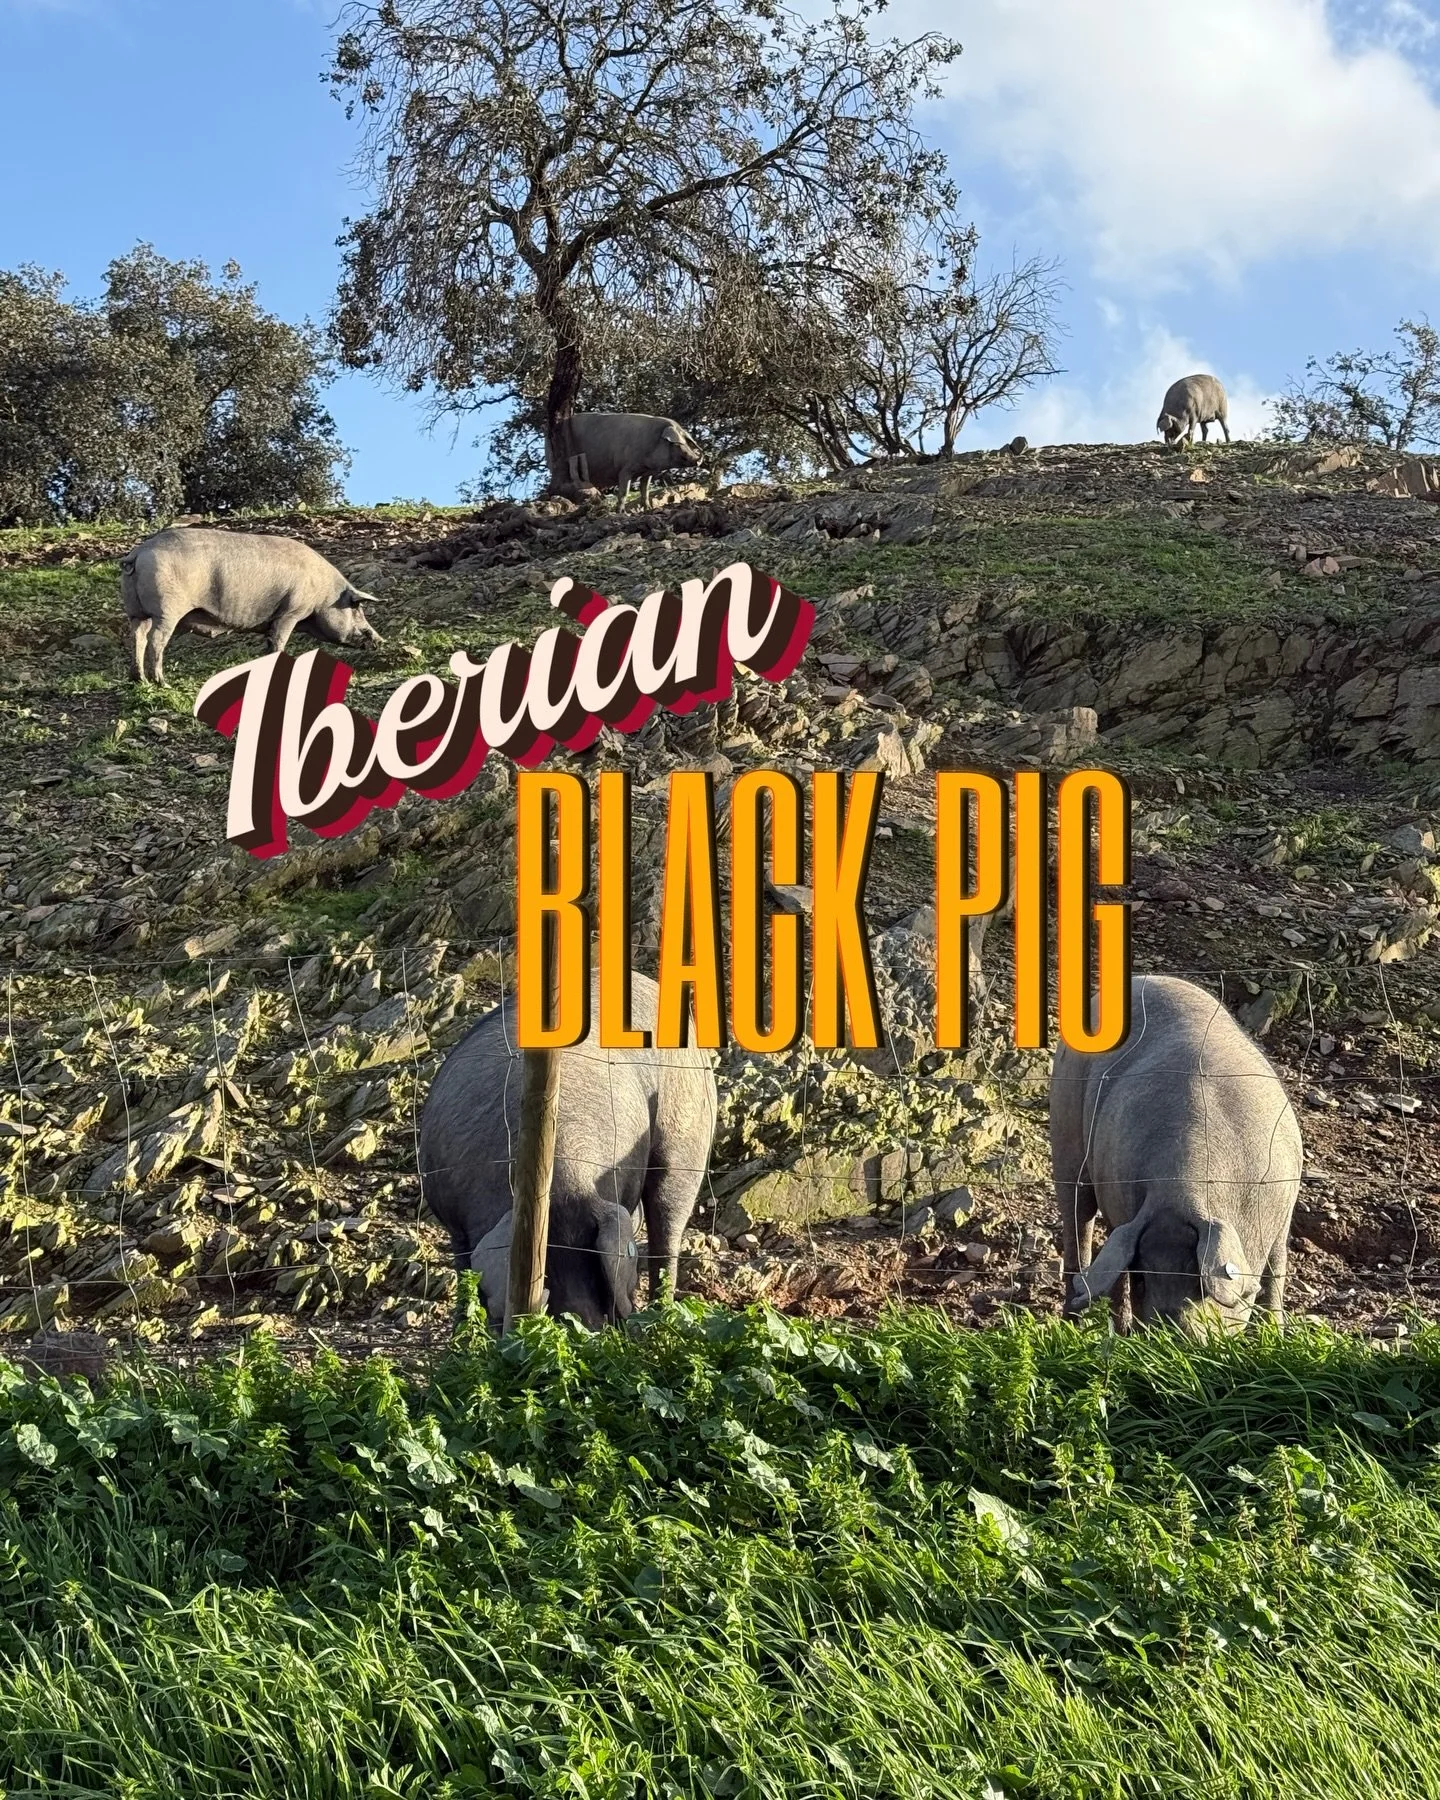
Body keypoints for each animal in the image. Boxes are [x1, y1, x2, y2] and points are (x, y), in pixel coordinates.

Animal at [120, 527, 384, 685]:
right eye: (356, 607)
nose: (380, 640)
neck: (323, 593)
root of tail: (138, 553)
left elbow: (269, 641)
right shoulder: (291, 611)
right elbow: (279, 639)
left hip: (135, 611)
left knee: (137, 637)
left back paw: (139, 679)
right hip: (167, 609)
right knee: (156, 640)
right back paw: (161, 682)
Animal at [419, 969, 718, 1331]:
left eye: (591, 1268)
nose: (584, 1325)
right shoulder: (453, 1220)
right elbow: (465, 1277)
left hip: (687, 1137)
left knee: (667, 1227)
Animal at [561, 412, 704, 512]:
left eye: (686, 442)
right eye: (677, 445)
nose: (697, 460)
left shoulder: (647, 473)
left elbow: (645, 491)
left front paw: (648, 509)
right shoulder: (625, 469)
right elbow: (624, 492)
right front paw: (621, 512)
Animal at [1050, 972, 1302, 1334]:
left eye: (1199, 1283)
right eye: (1145, 1277)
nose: (1171, 1333)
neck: (1184, 1190)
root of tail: (1144, 978)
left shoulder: (1284, 1209)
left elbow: (1274, 1277)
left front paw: (1272, 1336)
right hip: (1065, 1139)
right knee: (1080, 1236)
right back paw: (1073, 1324)